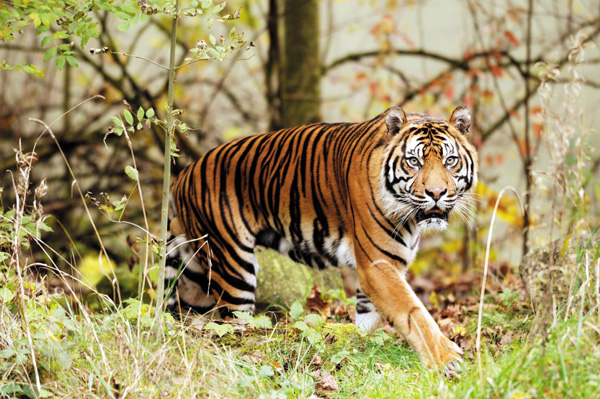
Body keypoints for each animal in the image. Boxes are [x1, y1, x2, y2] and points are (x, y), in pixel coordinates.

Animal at [164, 106, 478, 372]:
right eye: (414, 161)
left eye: (450, 161)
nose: (436, 193)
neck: (411, 217)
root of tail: (182, 175)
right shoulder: (378, 265)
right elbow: (412, 311)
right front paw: (446, 359)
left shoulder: (383, 268)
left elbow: (369, 320)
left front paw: (360, 351)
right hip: (234, 269)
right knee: (232, 325)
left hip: (197, 275)